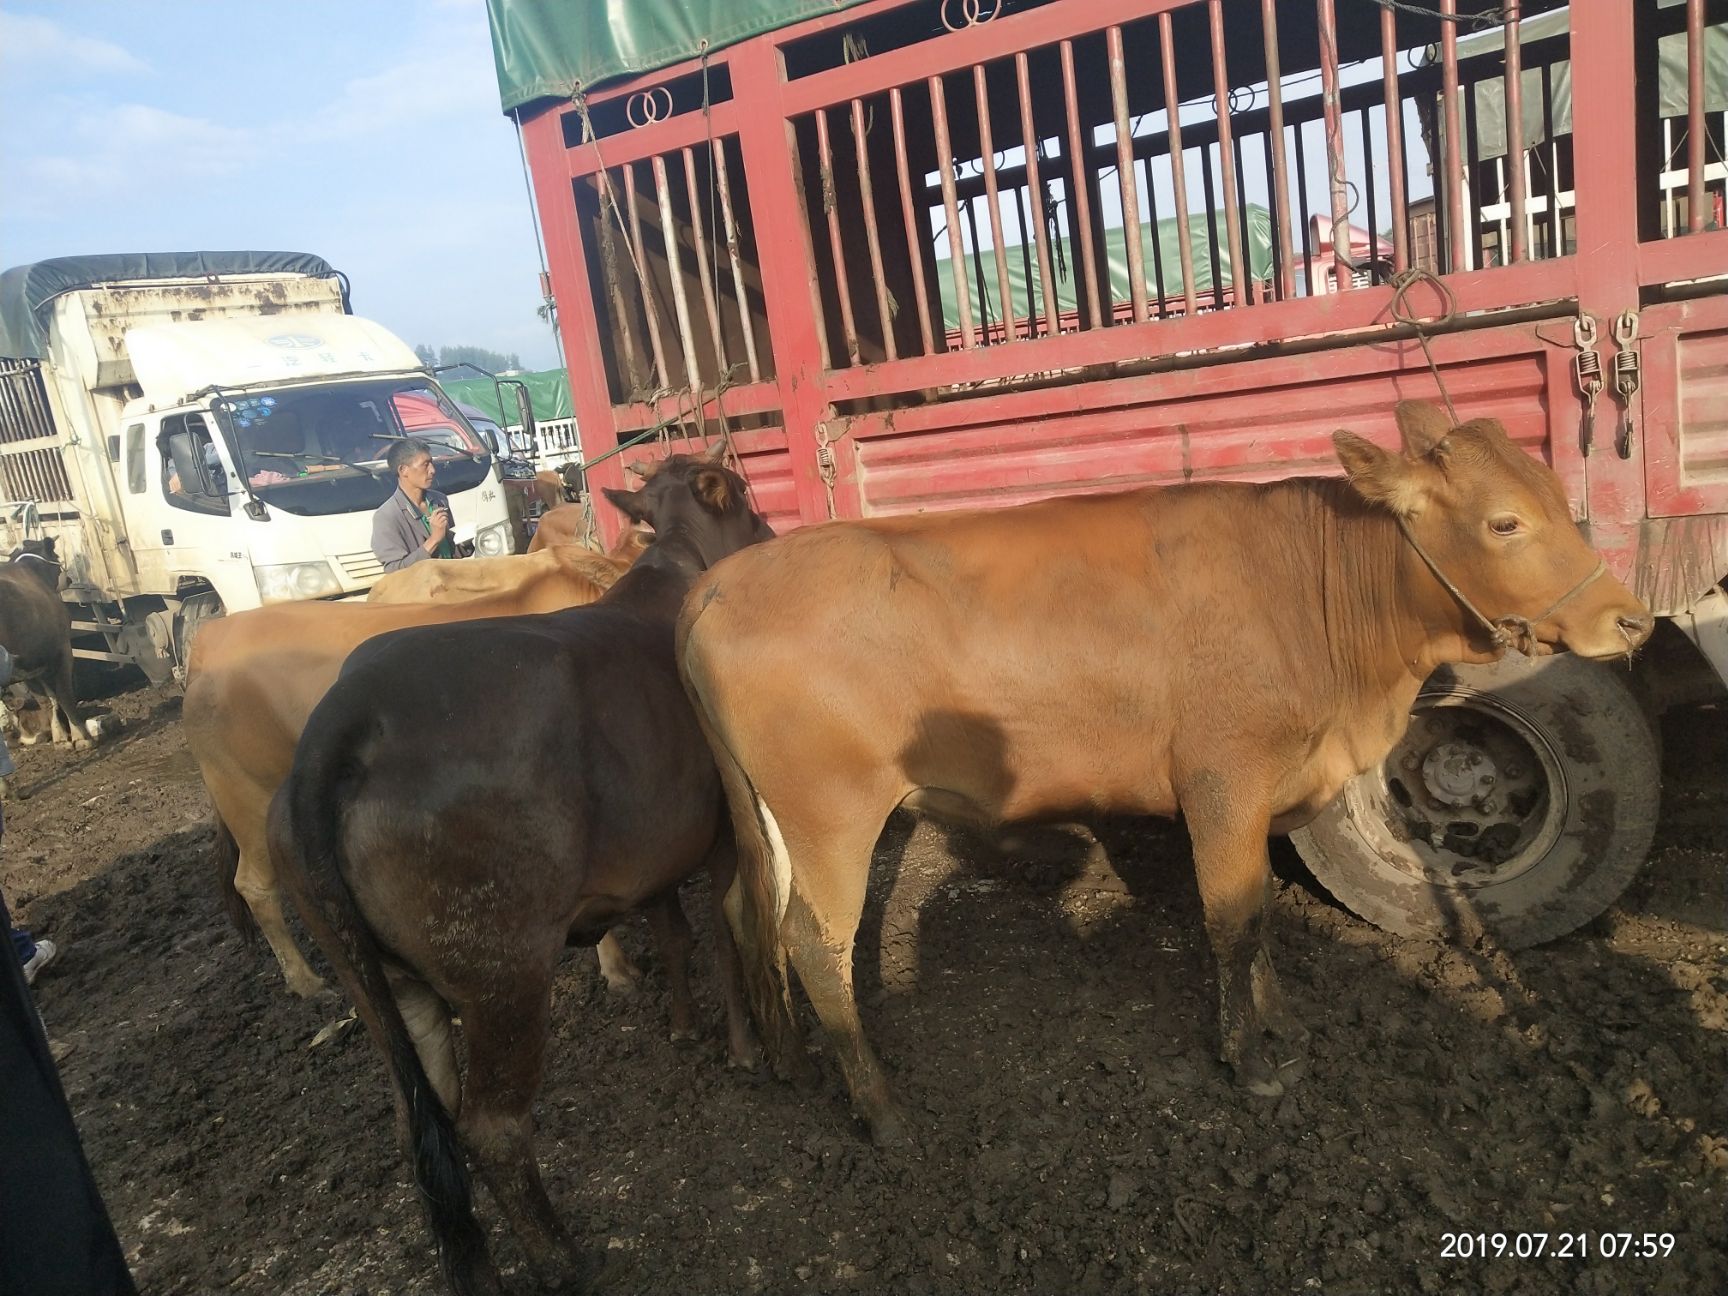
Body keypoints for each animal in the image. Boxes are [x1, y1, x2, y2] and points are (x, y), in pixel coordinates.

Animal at [267, 449, 770, 1296]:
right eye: (748, 500)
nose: (770, 536)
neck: (674, 559)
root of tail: (347, 713)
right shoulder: (721, 831)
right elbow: (724, 936)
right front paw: (741, 1046)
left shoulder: (655, 851)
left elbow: (672, 931)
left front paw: (680, 1025)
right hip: (504, 968)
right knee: (491, 1126)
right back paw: (566, 1259)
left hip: (389, 983)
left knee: (422, 1127)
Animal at [677, 404, 1658, 1147]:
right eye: (1505, 521)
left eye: (1557, 500)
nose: (1632, 620)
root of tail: (720, 583)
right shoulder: (1225, 781)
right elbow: (1231, 920)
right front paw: (1251, 1059)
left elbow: (1261, 916)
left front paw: (1283, 1025)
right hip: (833, 815)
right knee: (814, 942)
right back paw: (879, 1108)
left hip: (765, 817)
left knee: (744, 912)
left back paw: (783, 1057)